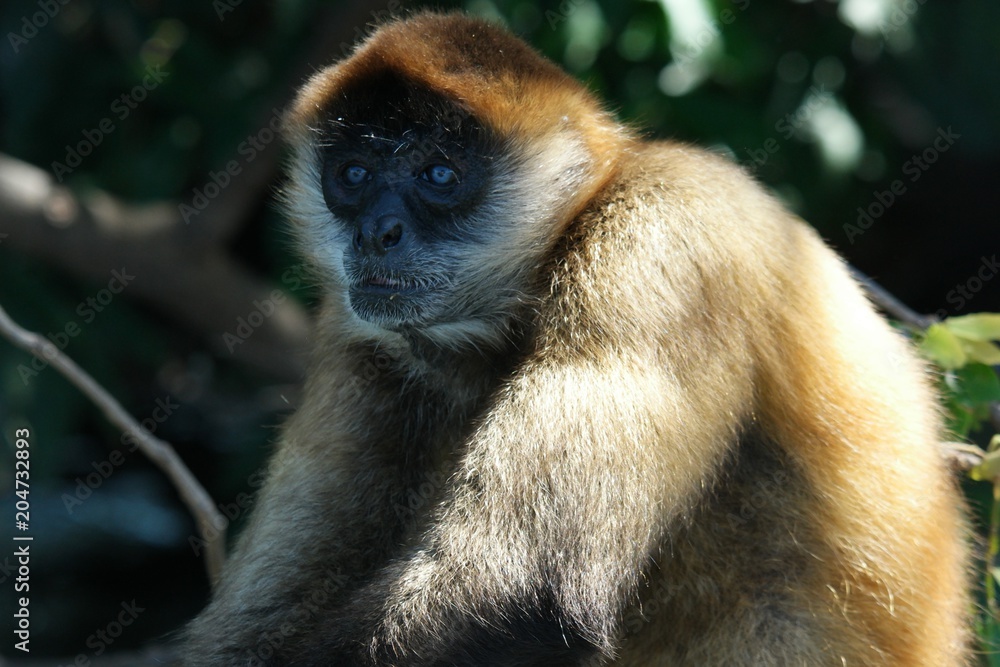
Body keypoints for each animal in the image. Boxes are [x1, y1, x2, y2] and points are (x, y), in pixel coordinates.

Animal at [180, 12, 970, 666]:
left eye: (438, 173)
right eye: (353, 174)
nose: (377, 232)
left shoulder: (663, 232)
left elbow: (524, 595)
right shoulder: (359, 333)